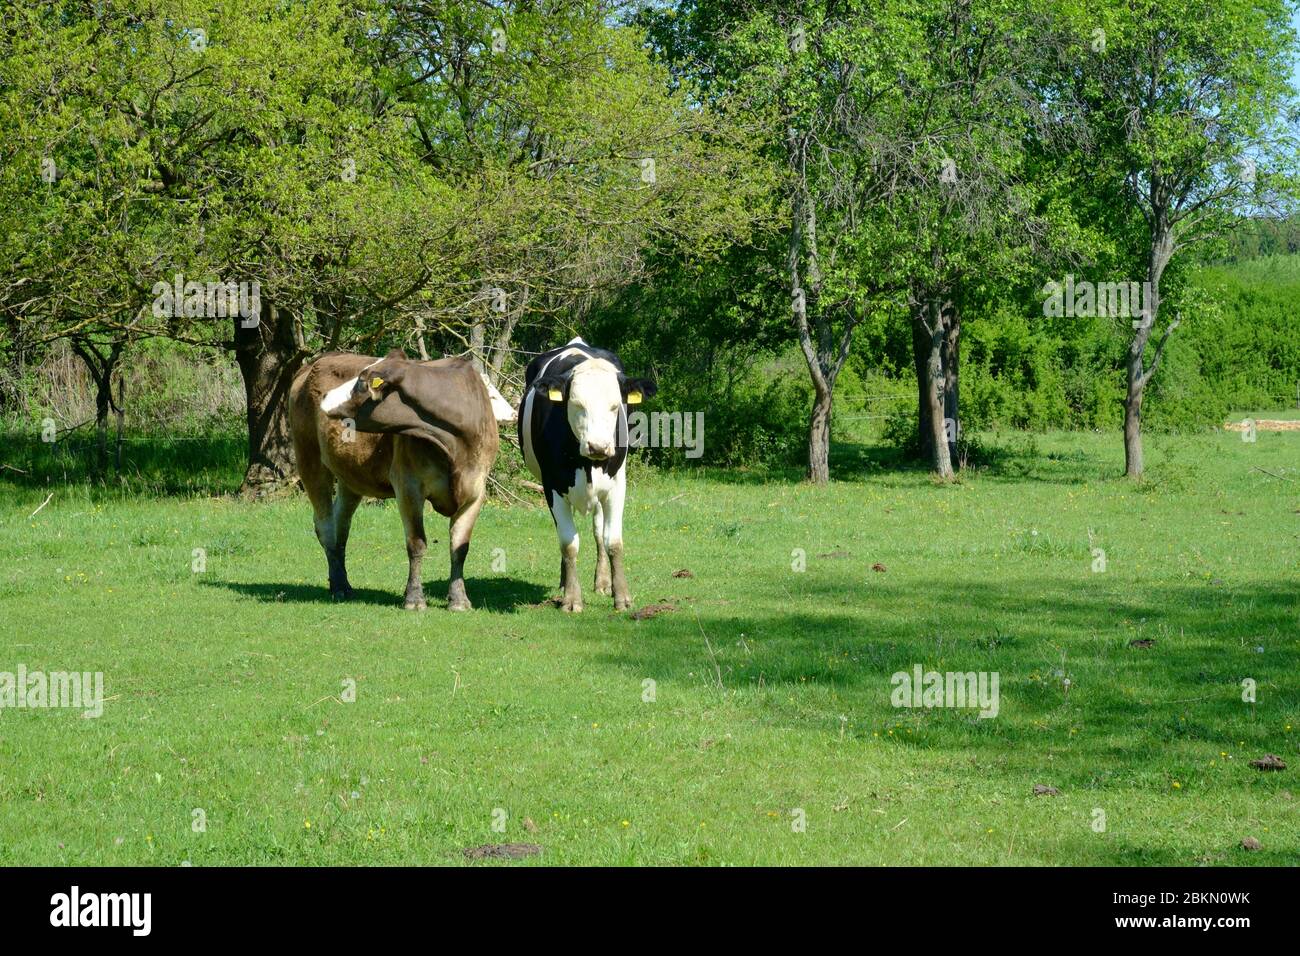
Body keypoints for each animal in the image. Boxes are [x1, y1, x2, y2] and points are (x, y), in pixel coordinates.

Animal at [289, 350, 499, 611]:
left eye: (362, 381)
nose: (325, 395)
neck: (455, 446)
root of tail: (315, 362)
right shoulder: (408, 485)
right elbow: (417, 543)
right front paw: (414, 599)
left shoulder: (475, 491)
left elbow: (460, 547)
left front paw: (459, 600)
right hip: (309, 459)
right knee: (325, 526)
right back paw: (338, 586)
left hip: (351, 477)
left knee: (341, 527)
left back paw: (343, 583)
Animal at [518, 338, 657, 612]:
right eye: (577, 405)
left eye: (615, 407)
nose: (598, 447)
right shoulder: (552, 486)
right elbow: (568, 543)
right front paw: (572, 598)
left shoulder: (617, 484)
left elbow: (613, 541)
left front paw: (622, 596)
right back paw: (565, 582)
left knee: (598, 531)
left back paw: (602, 582)